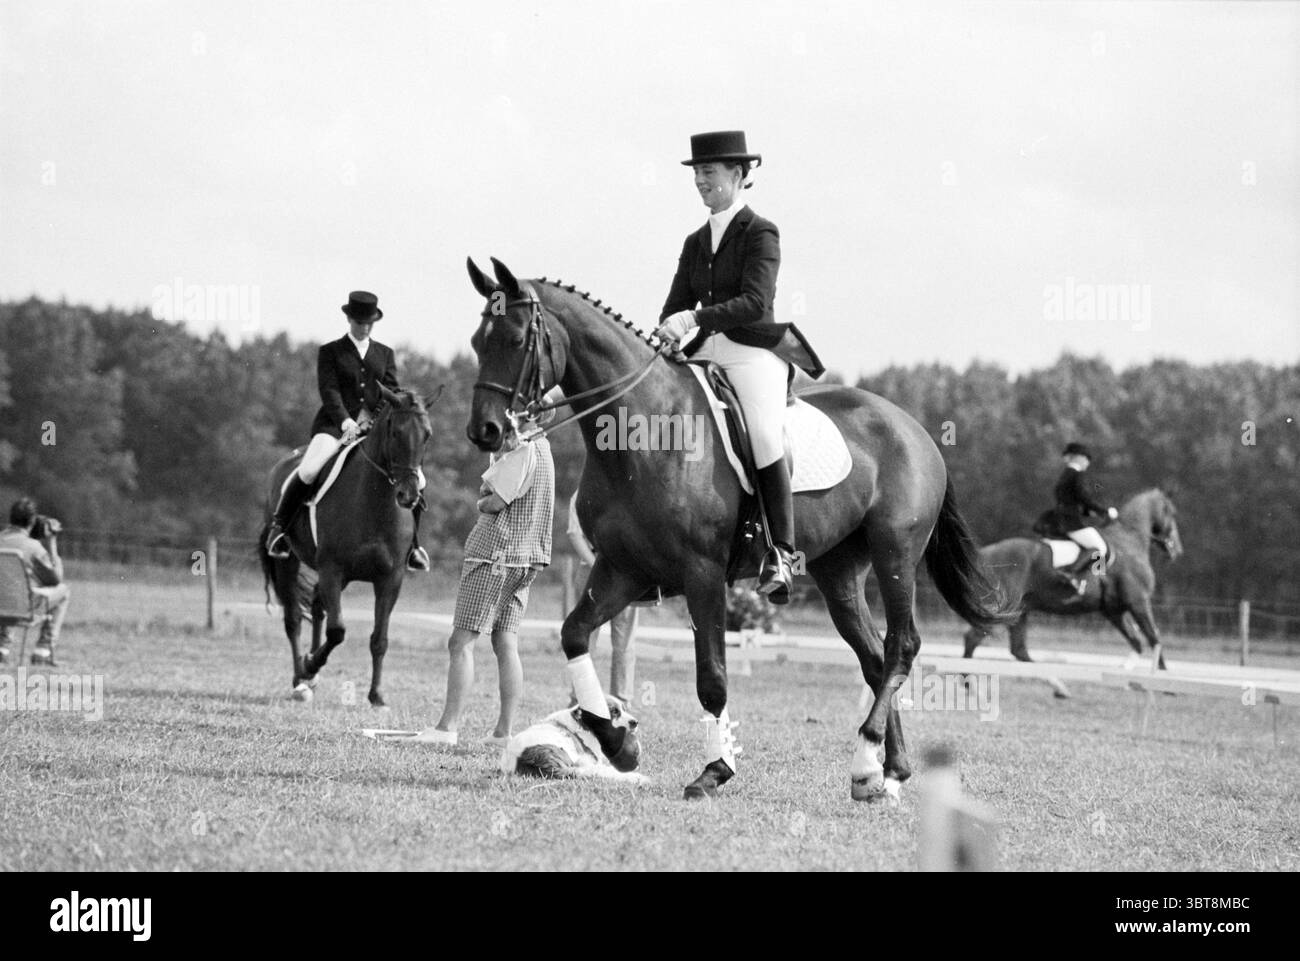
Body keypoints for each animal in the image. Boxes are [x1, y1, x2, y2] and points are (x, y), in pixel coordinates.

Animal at [258, 387, 434, 707]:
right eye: (395, 432)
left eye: (426, 434)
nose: (409, 495)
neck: (375, 503)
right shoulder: (332, 570)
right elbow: (338, 631)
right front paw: (309, 664)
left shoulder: (390, 579)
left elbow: (379, 639)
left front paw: (377, 696)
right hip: (287, 562)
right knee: (293, 619)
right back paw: (300, 678)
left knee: (316, 607)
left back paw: (311, 678)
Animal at [464, 257, 1017, 803]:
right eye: (475, 341)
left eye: (516, 339)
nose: (485, 432)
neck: (641, 431)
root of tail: (916, 430)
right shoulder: (621, 568)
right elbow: (574, 634)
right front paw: (615, 739)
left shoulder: (702, 574)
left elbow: (712, 678)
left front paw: (715, 770)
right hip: (840, 571)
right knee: (875, 657)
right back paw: (885, 773)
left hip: (895, 553)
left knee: (902, 645)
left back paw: (869, 760)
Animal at [961, 488, 1183, 693]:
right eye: (1172, 513)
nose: (1176, 550)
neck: (1130, 541)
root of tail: (984, 554)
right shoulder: (1138, 602)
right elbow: (1154, 638)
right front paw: (1165, 684)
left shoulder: (1114, 611)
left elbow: (1137, 641)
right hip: (1003, 609)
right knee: (975, 638)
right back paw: (970, 684)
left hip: (1019, 611)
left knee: (1019, 650)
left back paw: (1059, 687)